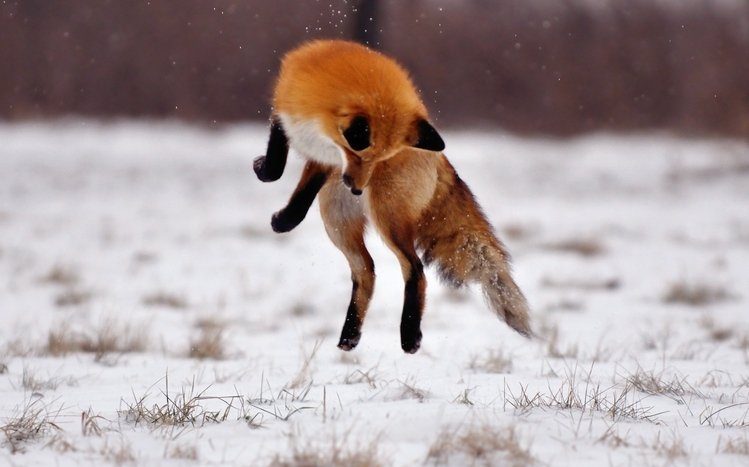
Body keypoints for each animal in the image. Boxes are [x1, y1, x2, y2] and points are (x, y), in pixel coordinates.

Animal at [253, 40, 531, 353]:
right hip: (336, 221)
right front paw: (283, 216)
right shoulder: (303, 133)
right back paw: (350, 336)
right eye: (360, 154)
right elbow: (292, 189)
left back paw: (409, 336)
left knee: (415, 268)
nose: (356, 188)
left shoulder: (319, 150)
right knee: (367, 270)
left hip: (386, 218)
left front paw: (267, 183)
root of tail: (441, 157)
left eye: (378, 159)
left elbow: (280, 172)